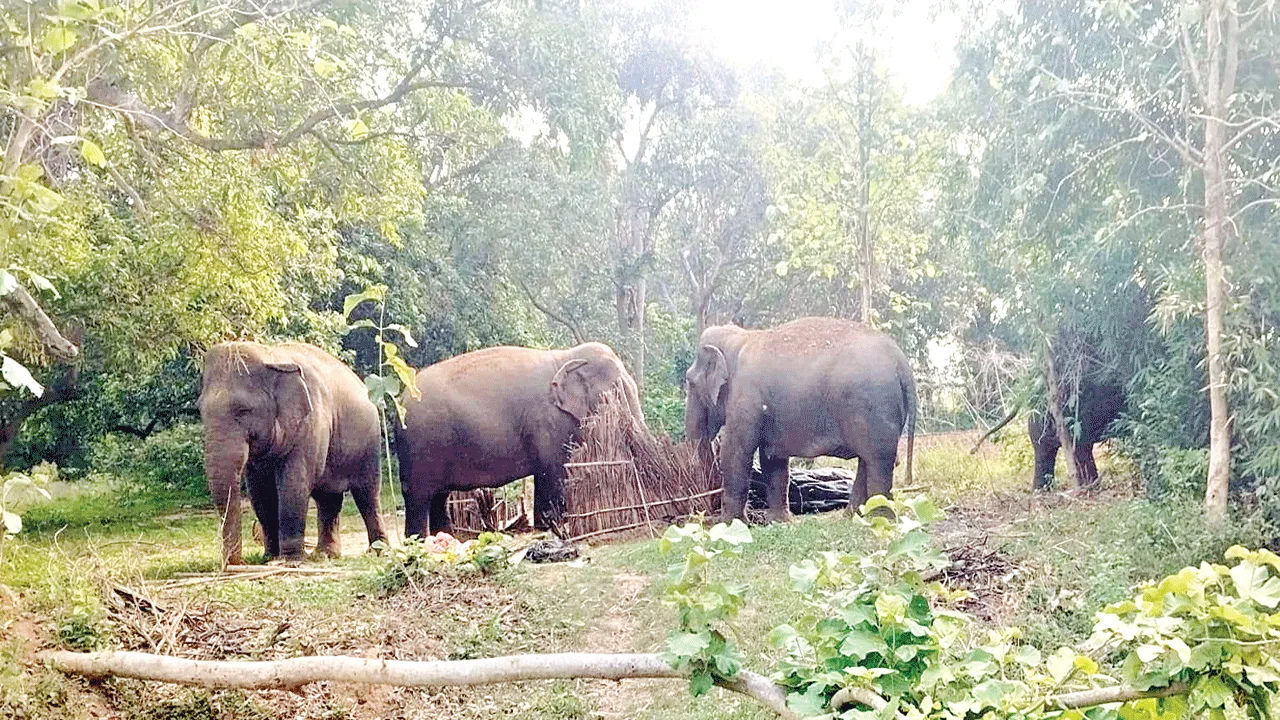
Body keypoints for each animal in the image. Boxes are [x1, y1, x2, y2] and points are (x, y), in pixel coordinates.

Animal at [198, 342, 387, 565]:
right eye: (200, 410)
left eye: (243, 410)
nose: (238, 563)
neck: (271, 357)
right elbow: (260, 492)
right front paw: (270, 557)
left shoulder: (312, 420)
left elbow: (294, 483)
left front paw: (291, 560)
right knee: (328, 498)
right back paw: (325, 555)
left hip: (369, 442)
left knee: (367, 494)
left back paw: (378, 552)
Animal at [394, 342, 646, 538]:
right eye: (620, 391)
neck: (565, 357)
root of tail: (400, 400)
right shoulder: (546, 421)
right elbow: (555, 470)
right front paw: (554, 525)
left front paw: (546, 526)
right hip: (420, 447)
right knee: (418, 496)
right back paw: (418, 541)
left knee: (439, 496)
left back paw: (446, 537)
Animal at [684, 317, 917, 523]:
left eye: (690, 382)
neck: (738, 337)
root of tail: (902, 362)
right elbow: (772, 458)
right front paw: (778, 521)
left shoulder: (746, 398)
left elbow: (735, 453)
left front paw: (729, 524)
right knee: (867, 460)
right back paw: (852, 517)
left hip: (873, 404)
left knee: (878, 460)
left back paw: (881, 519)